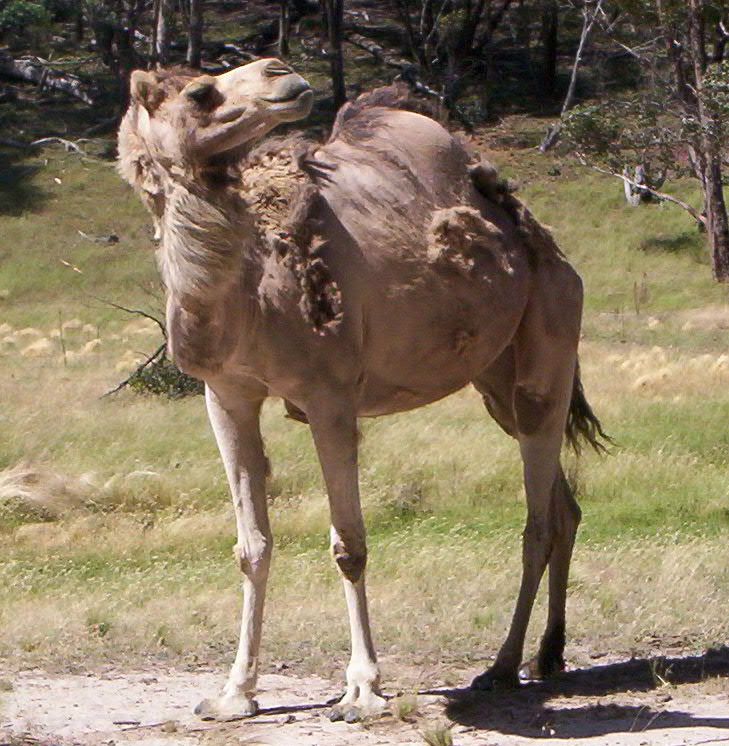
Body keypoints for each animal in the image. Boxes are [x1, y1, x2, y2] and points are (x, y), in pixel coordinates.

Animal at [117, 59, 607, 723]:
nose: (282, 73)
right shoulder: (226, 393)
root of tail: (543, 243)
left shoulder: (330, 395)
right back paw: (549, 654)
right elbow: (251, 546)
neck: (246, 290)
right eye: (200, 92)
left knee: (537, 518)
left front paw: (363, 689)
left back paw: (502, 666)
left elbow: (349, 545)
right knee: (563, 506)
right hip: (496, 378)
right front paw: (234, 693)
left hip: (549, 341)